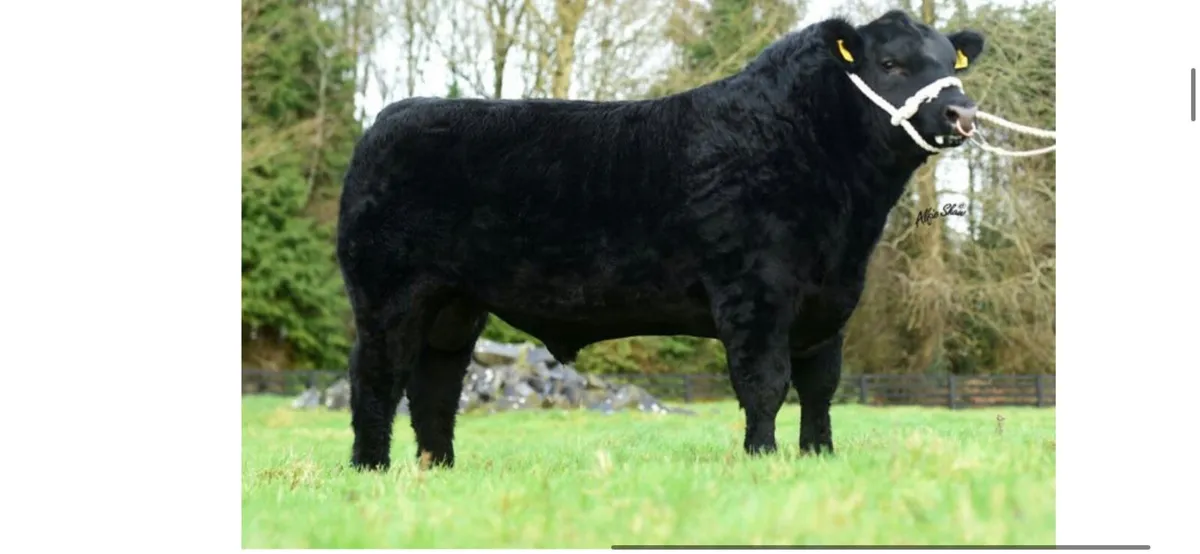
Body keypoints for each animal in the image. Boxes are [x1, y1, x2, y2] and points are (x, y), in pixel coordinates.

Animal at [335, 9, 986, 470]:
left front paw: (818, 457)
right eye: (892, 64)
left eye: (950, 64)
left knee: (435, 386)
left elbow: (820, 387)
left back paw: (438, 467)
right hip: (389, 293)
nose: (962, 113)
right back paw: (371, 468)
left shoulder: (831, 303)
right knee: (377, 378)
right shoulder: (754, 295)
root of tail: (393, 115)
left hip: (455, 304)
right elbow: (766, 384)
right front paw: (763, 459)